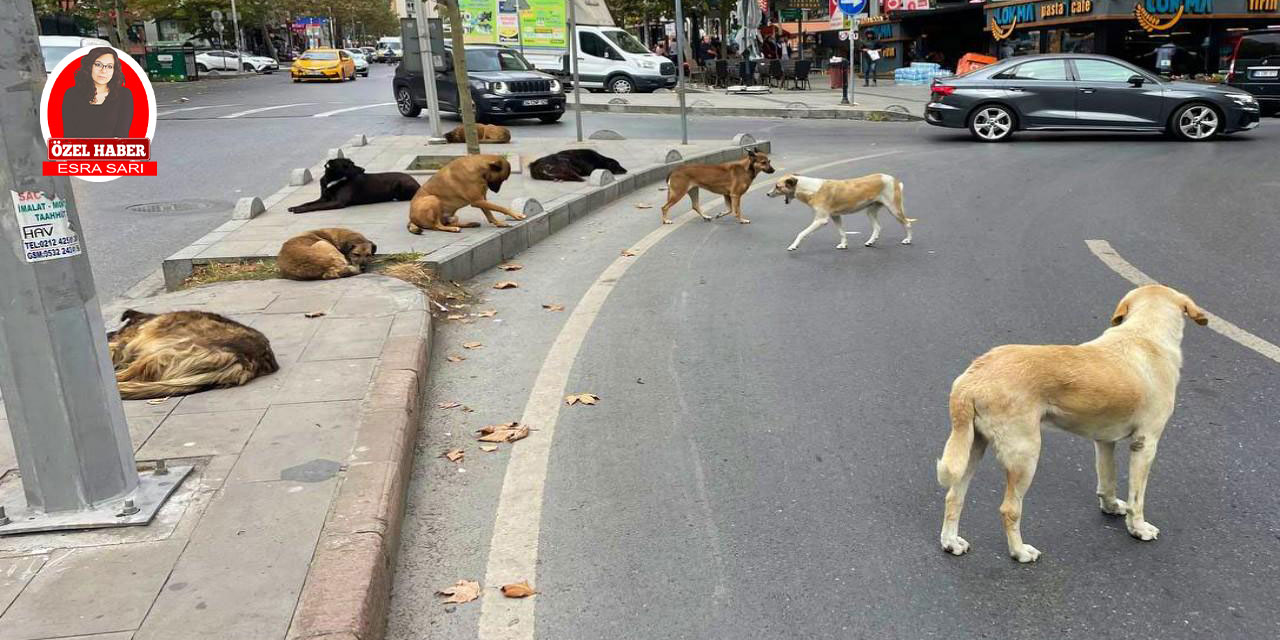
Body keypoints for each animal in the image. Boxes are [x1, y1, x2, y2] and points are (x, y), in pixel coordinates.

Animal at [109, 309, 280, 399]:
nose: (108, 334)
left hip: (164, 351)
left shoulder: (133, 343)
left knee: (126, 375)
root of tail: (249, 361)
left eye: (118, 330)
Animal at [290, 158, 419, 213]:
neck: (333, 180)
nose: (363, 169)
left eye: (353, 163)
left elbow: (315, 206)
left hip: (401, 184)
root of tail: (417, 182)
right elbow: (309, 203)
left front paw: (300, 210)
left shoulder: (338, 202)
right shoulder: (324, 198)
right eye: (348, 165)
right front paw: (295, 207)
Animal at [762, 172, 916, 252]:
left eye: (777, 186)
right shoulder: (836, 216)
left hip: (894, 209)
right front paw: (844, 244)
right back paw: (870, 242)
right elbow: (842, 232)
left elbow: (801, 233)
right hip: (871, 211)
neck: (810, 189)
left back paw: (908, 240)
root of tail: (893, 179)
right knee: (878, 227)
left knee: (907, 223)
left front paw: (794, 245)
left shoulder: (821, 220)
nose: (767, 194)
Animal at [936, 282, 1203, 563]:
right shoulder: (1146, 443)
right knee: (1009, 509)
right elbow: (1137, 498)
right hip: (1025, 456)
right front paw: (1138, 528)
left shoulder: (1104, 441)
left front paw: (1111, 507)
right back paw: (1020, 552)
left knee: (954, 496)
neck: (1145, 333)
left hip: (972, 448)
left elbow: (1107, 480)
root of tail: (972, 379)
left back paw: (951, 542)